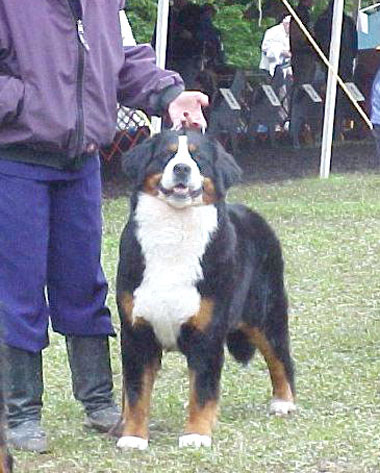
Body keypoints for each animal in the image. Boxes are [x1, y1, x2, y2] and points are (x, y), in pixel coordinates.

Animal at [116, 129, 296, 450]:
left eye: (197, 158)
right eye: (167, 155)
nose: (181, 168)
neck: (172, 234)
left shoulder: (207, 332)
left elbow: (201, 390)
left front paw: (197, 434)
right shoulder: (136, 332)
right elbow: (136, 393)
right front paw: (133, 437)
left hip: (265, 315)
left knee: (280, 359)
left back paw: (283, 402)